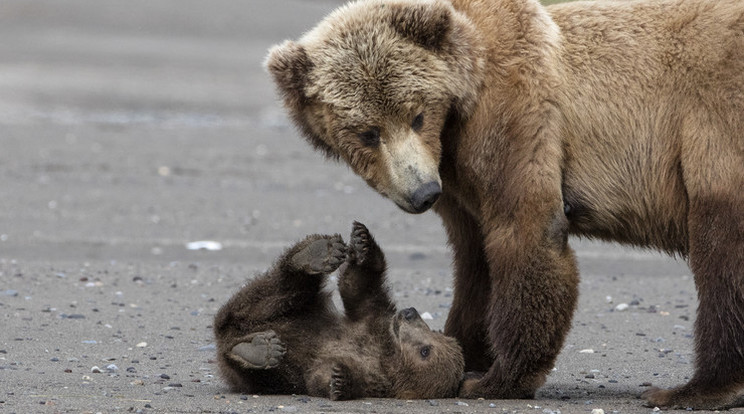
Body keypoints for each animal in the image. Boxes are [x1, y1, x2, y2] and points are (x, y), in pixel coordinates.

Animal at [264, 0, 744, 410]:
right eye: (367, 132)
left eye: (416, 115)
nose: (422, 193)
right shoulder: (458, 182)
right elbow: (475, 260)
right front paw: (462, 349)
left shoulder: (513, 114)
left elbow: (525, 231)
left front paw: (496, 379)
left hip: (712, 124)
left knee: (721, 251)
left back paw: (693, 389)